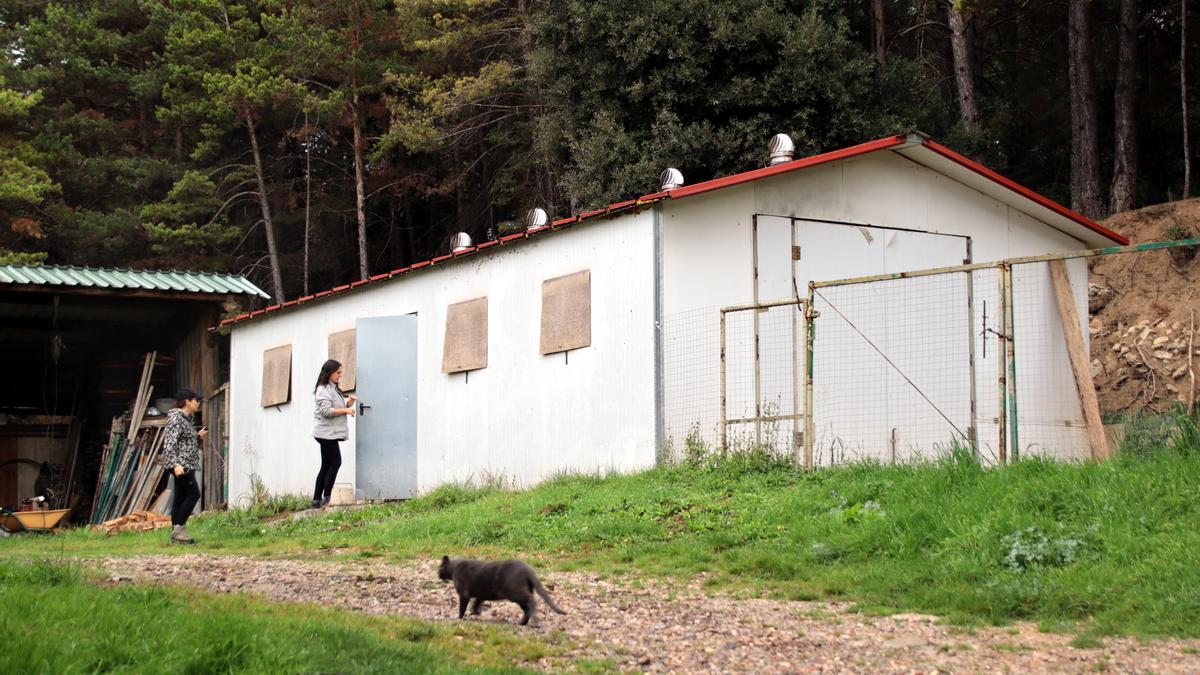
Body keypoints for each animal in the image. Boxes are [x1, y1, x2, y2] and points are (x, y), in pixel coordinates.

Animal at [439, 554, 568, 624]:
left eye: (439, 567)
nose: (438, 574)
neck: (455, 569)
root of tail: (528, 570)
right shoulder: (482, 594)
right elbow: (476, 601)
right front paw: (475, 611)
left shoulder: (464, 593)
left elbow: (462, 607)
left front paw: (459, 617)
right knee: (527, 608)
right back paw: (522, 623)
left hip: (515, 592)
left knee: (531, 601)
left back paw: (532, 619)